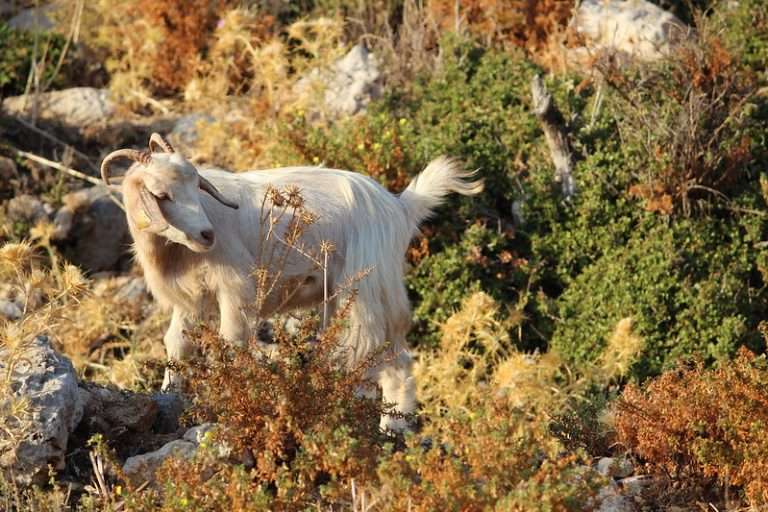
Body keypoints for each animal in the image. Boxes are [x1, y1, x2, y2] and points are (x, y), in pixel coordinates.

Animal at [101, 133, 483, 431]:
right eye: (161, 195)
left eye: (197, 185)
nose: (206, 234)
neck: (175, 253)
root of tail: (400, 207)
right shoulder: (191, 299)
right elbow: (177, 344)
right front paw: (171, 394)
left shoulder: (235, 288)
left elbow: (231, 343)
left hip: (368, 290)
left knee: (385, 360)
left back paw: (390, 428)